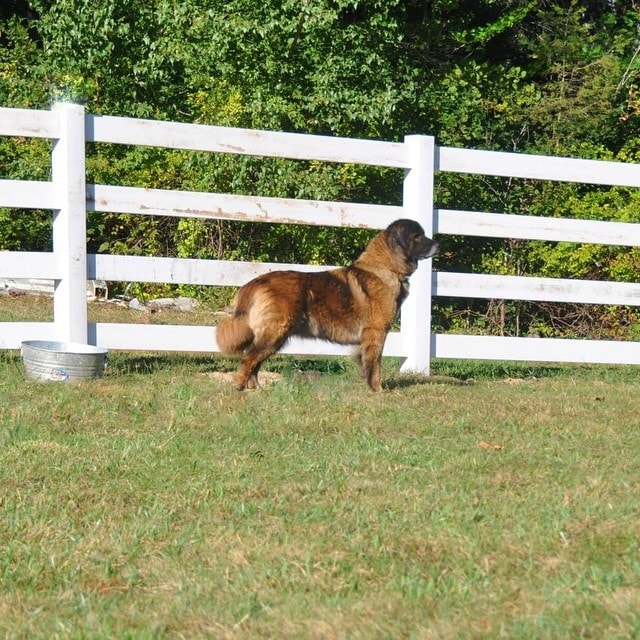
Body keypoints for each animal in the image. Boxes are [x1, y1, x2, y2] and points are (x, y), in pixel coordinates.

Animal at [215, 219, 440, 390]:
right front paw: (378, 390)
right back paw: (241, 388)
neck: (386, 268)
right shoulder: (376, 332)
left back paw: (256, 389)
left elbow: (366, 363)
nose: (438, 244)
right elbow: (375, 365)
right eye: (417, 236)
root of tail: (257, 281)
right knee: (248, 360)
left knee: (254, 362)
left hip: (275, 336)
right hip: (275, 333)